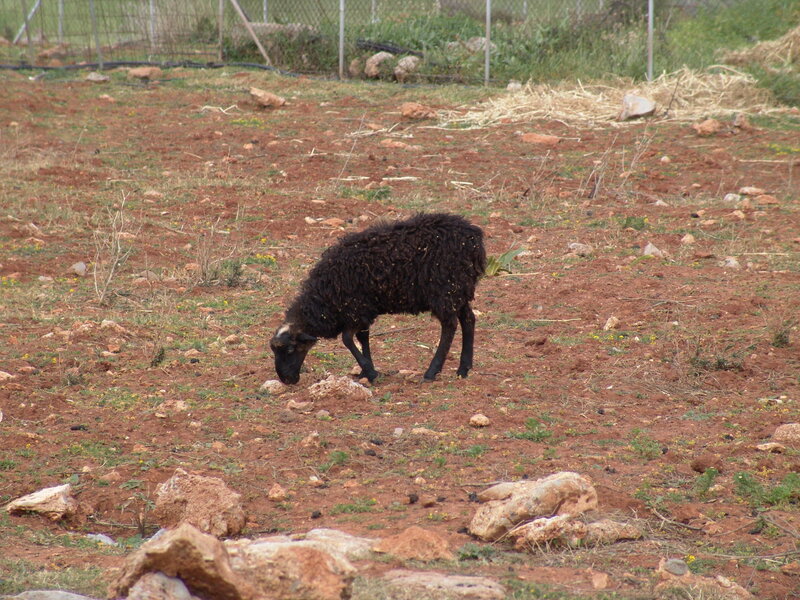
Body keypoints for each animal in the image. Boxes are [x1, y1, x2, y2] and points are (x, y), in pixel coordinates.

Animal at [270, 212, 486, 384]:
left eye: (290, 350)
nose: (286, 380)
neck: (324, 299)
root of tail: (473, 238)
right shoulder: (362, 310)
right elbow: (362, 338)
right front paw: (365, 372)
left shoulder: (355, 308)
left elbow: (347, 339)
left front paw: (371, 372)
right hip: (458, 289)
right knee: (468, 319)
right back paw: (463, 369)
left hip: (444, 289)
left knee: (449, 326)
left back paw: (431, 372)